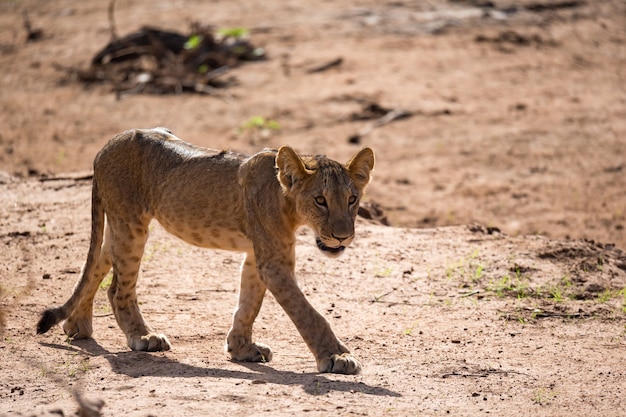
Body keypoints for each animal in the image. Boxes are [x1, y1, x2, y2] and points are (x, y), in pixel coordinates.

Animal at [36, 127, 372, 374]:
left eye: (352, 199)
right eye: (320, 200)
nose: (343, 237)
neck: (287, 200)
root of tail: (106, 145)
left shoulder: (258, 256)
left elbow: (249, 302)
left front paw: (241, 349)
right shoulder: (274, 263)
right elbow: (308, 313)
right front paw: (337, 357)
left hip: (119, 226)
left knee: (96, 262)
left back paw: (76, 325)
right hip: (131, 225)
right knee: (118, 288)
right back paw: (142, 337)